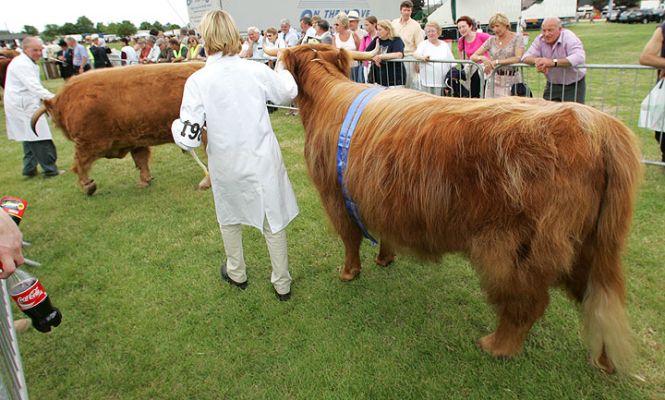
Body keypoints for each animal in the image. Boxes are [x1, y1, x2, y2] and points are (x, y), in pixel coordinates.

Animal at [30, 62, 210, 195]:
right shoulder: (136, 141)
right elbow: (141, 160)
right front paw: (144, 180)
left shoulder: (88, 144)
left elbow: (79, 164)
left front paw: (88, 186)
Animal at [271, 44, 641, 374]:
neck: (328, 99)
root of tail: (596, 123)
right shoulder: (379, 198)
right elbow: (382, 233)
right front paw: (385, 258)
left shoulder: (334, 195)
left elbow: (349, 238)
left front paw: (348, 272)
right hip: (591, 244)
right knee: (598, 301)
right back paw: (605, 361)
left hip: (517, 248)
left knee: (527, 301)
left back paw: (497, 345)